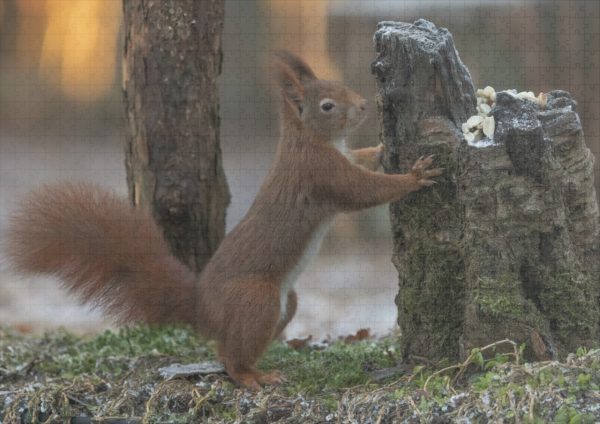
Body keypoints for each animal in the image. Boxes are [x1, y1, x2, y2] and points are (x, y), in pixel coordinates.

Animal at [1, 51, 440, 390]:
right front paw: (413, 177)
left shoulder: (341, 159)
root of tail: (203, 309)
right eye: (327, 106)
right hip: (257, 298)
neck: (307, 140)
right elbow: (364, 191)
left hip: (285, 304)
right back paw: (254, 377)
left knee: (227, 348)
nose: (365, 106)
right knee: (231, 360)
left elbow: (363, 160)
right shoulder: (321, 175)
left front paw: (381, 148)